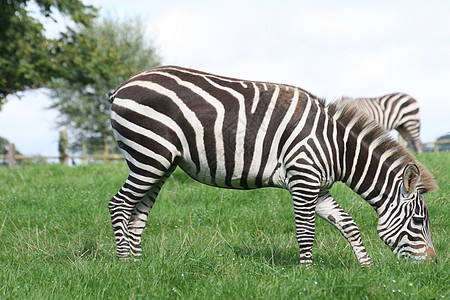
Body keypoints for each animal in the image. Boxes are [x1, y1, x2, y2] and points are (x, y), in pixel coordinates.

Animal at [107, 65, 438, 268]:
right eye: (419, 221)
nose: (433, 264)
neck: (338, 149)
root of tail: (121, 87)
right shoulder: (304, 180)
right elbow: (306, 232)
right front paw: (307, 276)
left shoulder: (319, 188)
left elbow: (349, 225)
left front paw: (366, 268)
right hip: (150, 155)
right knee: (119, 204)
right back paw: (124, 262)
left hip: (159, 163)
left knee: (138, 212)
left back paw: (138, 265)